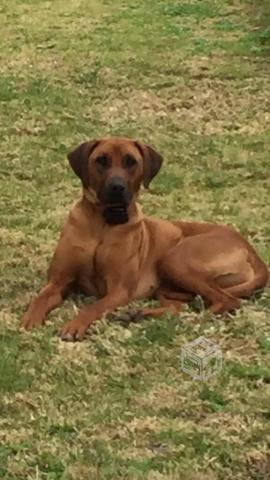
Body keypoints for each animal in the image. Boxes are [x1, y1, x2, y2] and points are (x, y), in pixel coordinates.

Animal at [21, 136, 268, 342]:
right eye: (101, 160)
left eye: (131, 161)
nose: (117, 187)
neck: (103, 223)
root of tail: (251, 250)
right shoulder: (58, 281)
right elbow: (41, 298)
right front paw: (30, 318)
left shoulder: (119, 290)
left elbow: (94, 307)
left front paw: (75, 325)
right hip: (168, 283)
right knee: (179, 306)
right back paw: (139, 314)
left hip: (176, 258)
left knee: (226, 301)